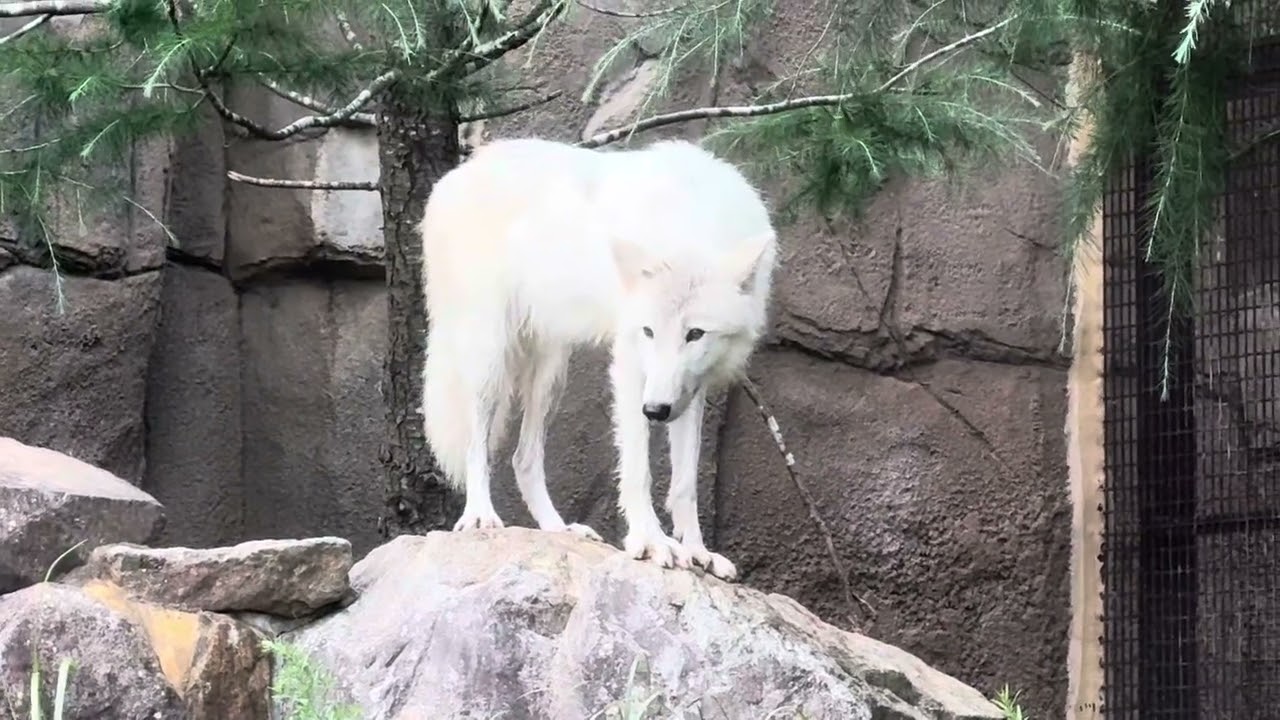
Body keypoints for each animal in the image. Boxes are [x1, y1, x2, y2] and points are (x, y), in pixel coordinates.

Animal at [419, 136, 777, 580]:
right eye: (648, 331)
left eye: (694, 334)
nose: (655, 411)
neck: (689, 221)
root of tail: (454, 177)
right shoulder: (630, 365)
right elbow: (639, 471)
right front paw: (652, 543)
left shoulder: (690, 389)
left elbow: (685, 483)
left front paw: (698, 552)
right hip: (490, 361)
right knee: (477, 446)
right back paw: (480, 516)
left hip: (551, 375)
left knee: (523, 459)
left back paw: (559, 530)